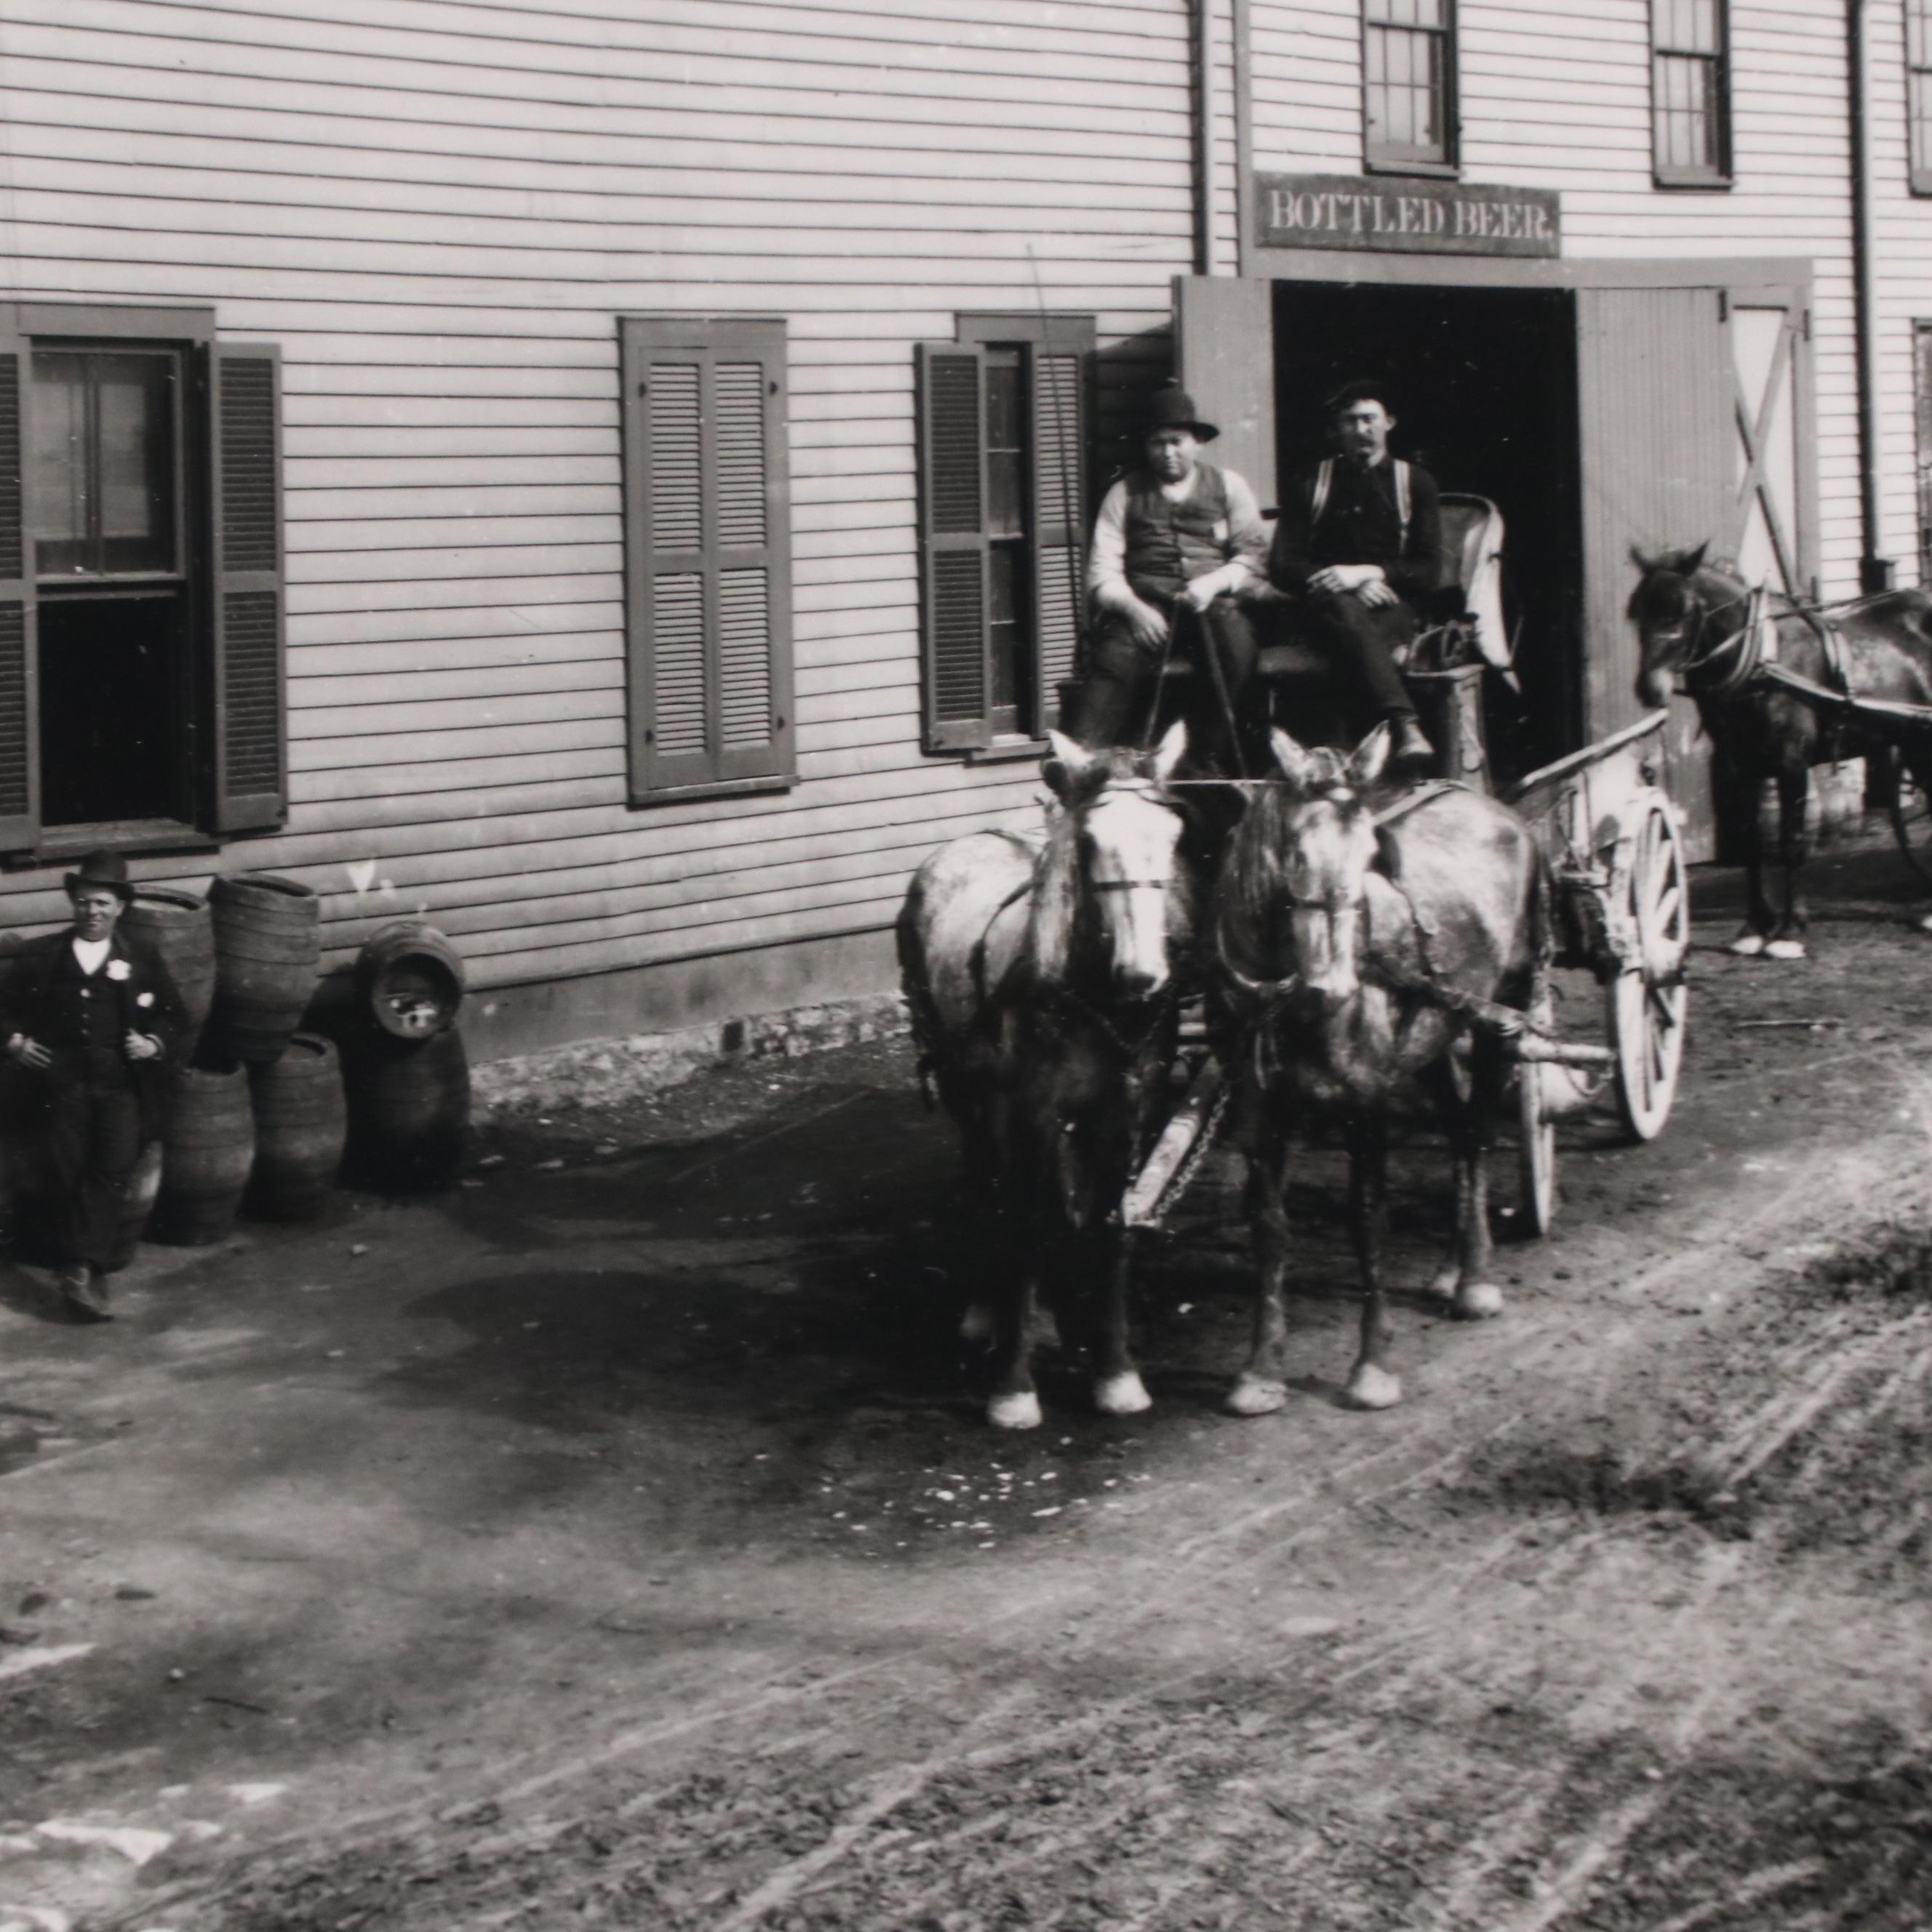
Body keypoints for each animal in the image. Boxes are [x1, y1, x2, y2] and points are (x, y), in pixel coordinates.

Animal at [900, 719, 1197, 1429]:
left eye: (1173, 834)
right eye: (1090, 842)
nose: (1143, 974)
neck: (1092, 997)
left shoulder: (1124, 1110)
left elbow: (1108, 1223)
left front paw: (1114, 1371)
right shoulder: (1033, 1110)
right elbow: (1029, 1225)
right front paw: (1013, 1386)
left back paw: (1049, 1316)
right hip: (969, 1089)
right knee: (988, 1186)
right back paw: (991, 1311)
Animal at [1213, 719, 1545, 1414]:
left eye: (1373, 854)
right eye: (1295, 854)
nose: (1335, 987)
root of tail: (1497, 811)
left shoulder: (1365, 1100)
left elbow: (1368, 1223)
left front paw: (1372, 1368)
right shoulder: (1259, 1110)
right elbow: (1269, 1227)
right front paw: (1260, 1370)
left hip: (1506, 1009)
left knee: (1476, 1134)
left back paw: (1474, 1281)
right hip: (1433, 1037)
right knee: (1456, 1130)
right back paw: (1450, 1268)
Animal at [1630, 544, 1932, 958]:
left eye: (1682, 608)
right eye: (1636, 610)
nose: (1649, 688)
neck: (1761, 661)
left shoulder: (1792, 763)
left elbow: (1792, 843)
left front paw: (1789, 931)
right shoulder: (1738, 767)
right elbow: (1751, 842)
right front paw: (1754, 927)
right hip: (1916, 743)